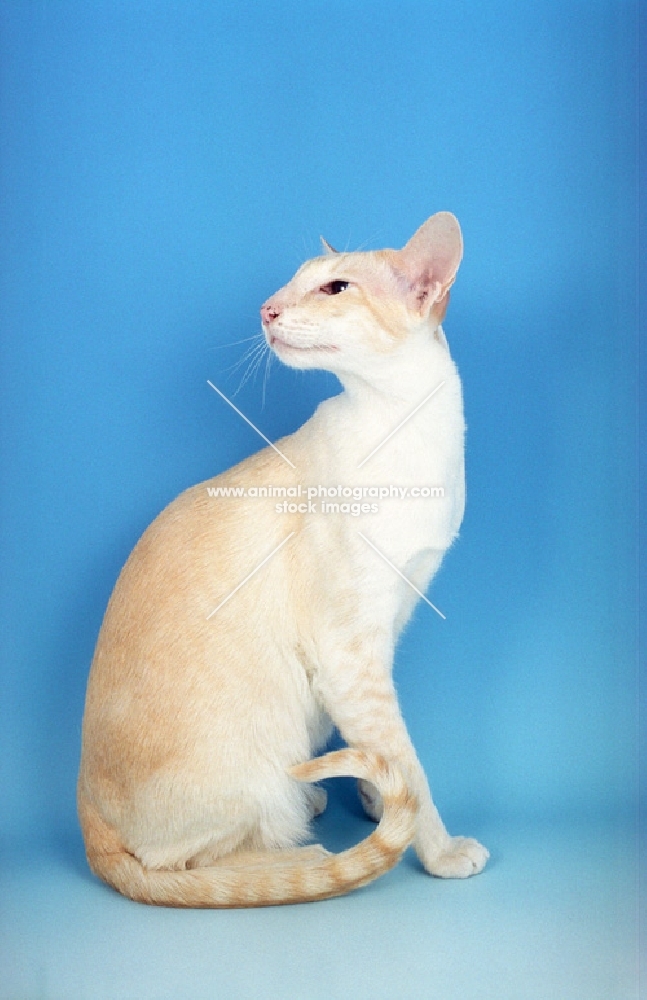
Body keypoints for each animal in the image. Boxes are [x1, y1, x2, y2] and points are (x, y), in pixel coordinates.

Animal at [77, 211, 492, 908]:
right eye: (294, 284)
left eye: (334, 288)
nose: (266, 308)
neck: (408, 434)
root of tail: (86, 821)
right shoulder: (349, 654)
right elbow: (406, 761)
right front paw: (433, 849)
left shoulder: (388, 628)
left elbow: (382, 752)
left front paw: (379, 804)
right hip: (254, 770)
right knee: (188, 867)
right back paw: (299, 845)